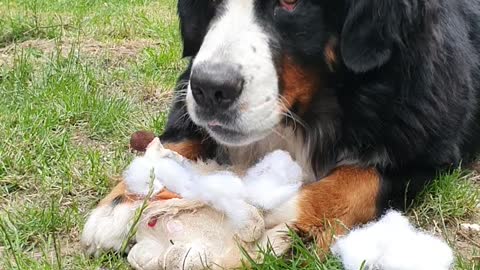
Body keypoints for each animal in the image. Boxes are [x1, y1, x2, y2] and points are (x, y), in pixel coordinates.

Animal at [87, 0, 480, 253]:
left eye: (290, 2)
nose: (210, 89)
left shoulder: (426, 148)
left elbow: (357, 180)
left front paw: (279, 216)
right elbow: (175, 142)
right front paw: (120, 207)